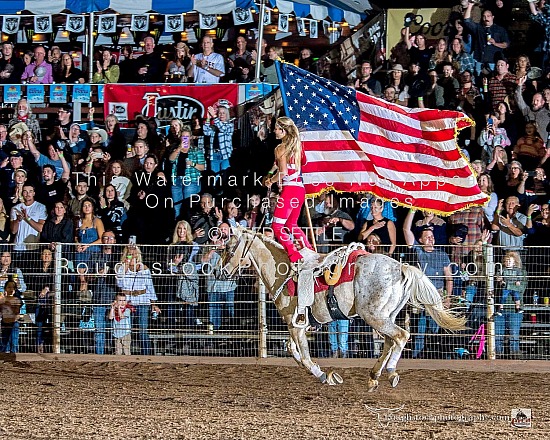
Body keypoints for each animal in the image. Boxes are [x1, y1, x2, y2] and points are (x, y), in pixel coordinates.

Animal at [222, 229, 468, 390]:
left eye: (228, 247)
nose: (221, 271)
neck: (284, 271)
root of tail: (401, 267)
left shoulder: (295, 324)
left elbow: (304, 356)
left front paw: (326, 376)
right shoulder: (299, 323)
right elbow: (293, 350)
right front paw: (324, 373)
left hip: (374, 316)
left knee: (401, 336)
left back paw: (390, 373)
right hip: (385, 316)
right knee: (390, 341)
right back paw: (374, 375)